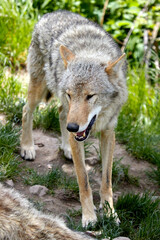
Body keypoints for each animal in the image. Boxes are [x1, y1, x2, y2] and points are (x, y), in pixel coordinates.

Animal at [20, 9, 127, 227]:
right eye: (71, 94)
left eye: (90, 96)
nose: (72, 127)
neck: (92, 53)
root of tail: (53, 12)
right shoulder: (76, 126)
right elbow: (83, 180)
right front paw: (89, 217)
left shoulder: (109, 132)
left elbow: (107, 181)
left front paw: (110, 213)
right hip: (39, 90)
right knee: (27, 110)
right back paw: (27, 147)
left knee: (61, 112)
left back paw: (66, 148)